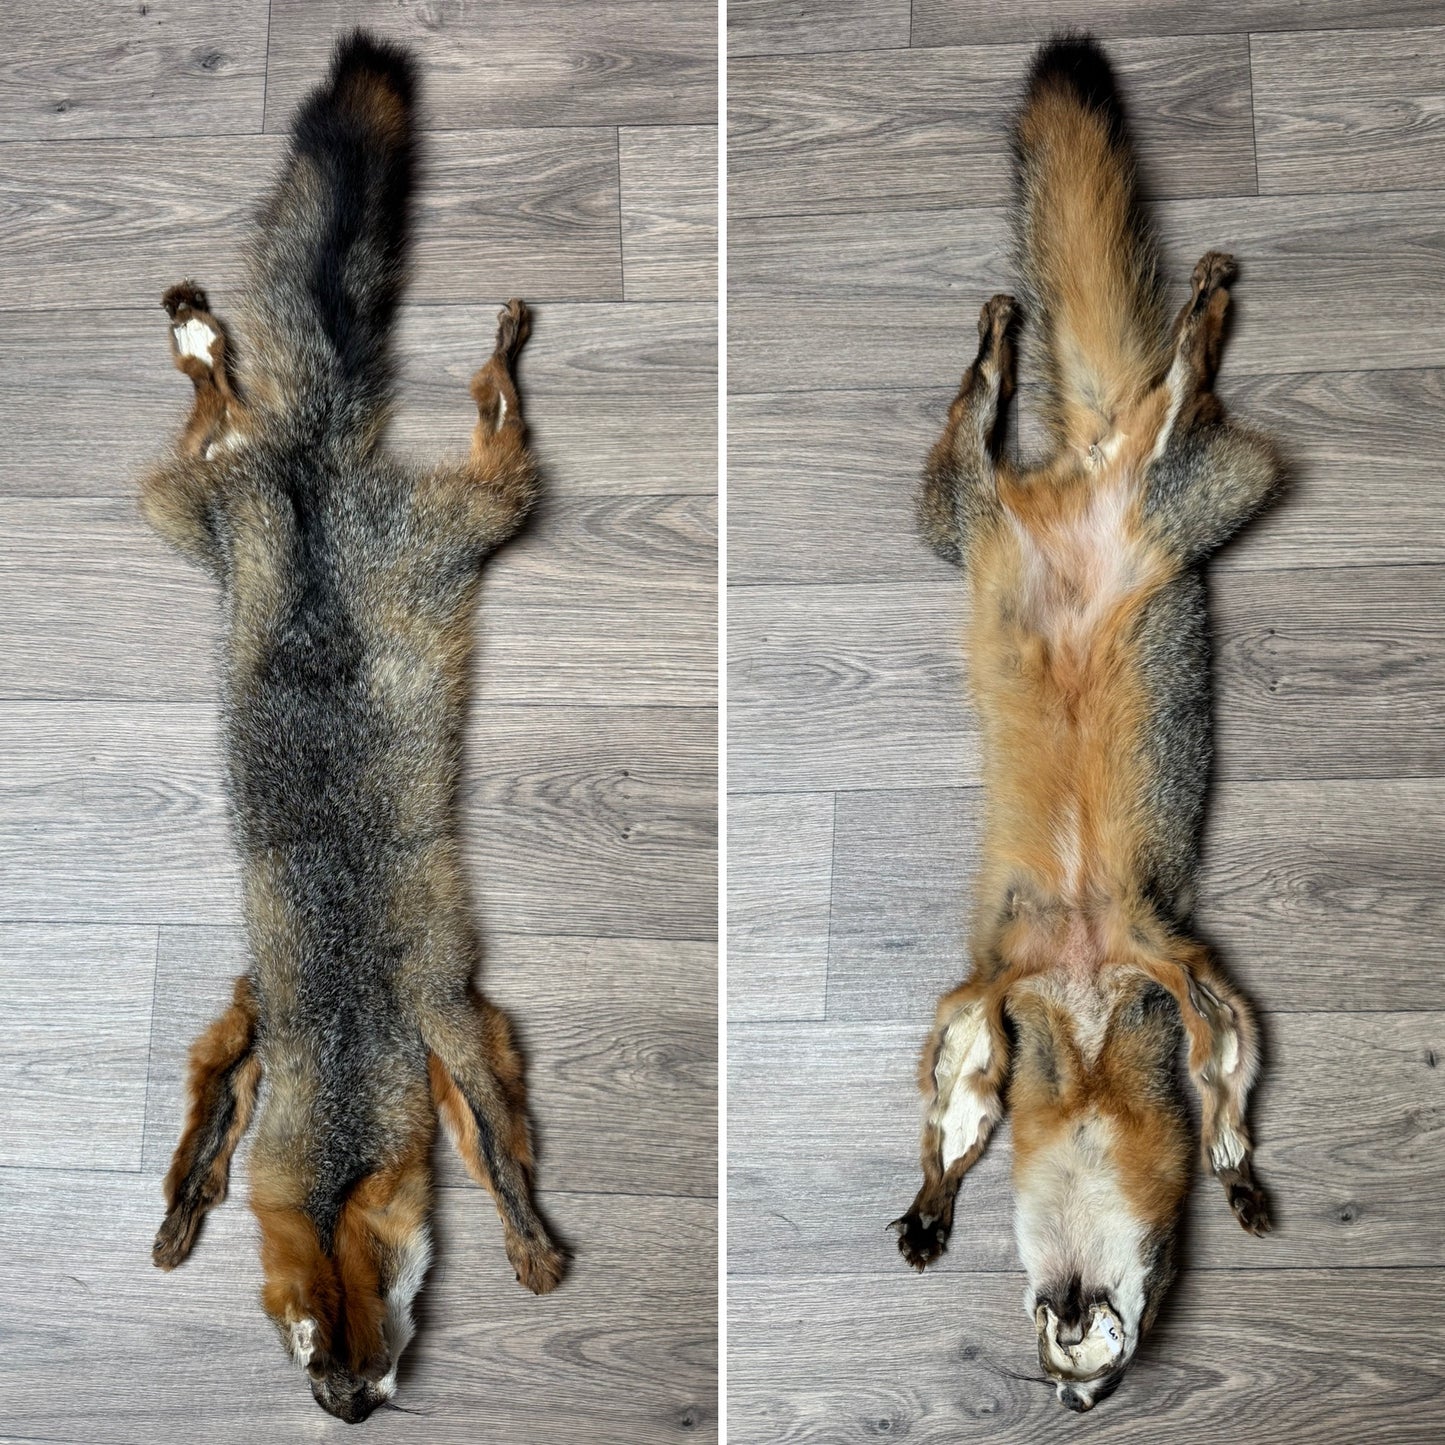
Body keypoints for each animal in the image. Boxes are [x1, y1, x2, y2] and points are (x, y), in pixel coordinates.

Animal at [138, 32, 564, 1422]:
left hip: (475, 517)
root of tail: (315, 472)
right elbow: (210, 1116)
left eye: (368, 1344)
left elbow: (500, 1146)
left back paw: (488, 347)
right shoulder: (258, 1005)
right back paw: (198, 333)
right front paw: (179, 1210)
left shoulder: (448, 1013)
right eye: (316, 1355)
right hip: (187, 514)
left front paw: (533, 1240)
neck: (335, 1018)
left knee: (490, 423)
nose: (355, 1410)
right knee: (219, 415)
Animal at [890, 35, 1282, 1411]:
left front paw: (1233, 1163)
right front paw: (931, 1193)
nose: (1067, 1394)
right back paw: (1016, 342)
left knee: (1179, 403)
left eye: (1097, 1368)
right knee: (989, 427)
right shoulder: (992, 993)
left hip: (1200, 493)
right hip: (965, 521)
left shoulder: (1169, 962)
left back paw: (1188, 324)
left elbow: (1225, 1066)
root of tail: (1091, 461)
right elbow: (954, 1096)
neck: (1088, 1032)